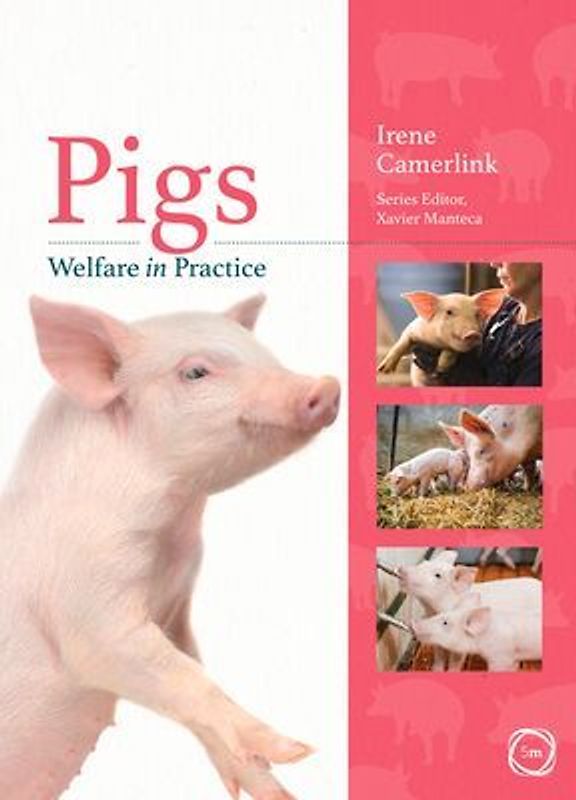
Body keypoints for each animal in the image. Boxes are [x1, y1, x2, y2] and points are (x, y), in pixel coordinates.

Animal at [0, 295, 340, 800]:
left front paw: (273, 788)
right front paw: (295, 750)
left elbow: (193, 674)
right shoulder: (87, 613)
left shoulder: (174, 609)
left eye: (265, 353)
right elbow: (185, 678)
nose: (328, 384)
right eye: (196, 372)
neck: (169, 539)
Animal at [377, 289, 505, 385]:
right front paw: (383, 370)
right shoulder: (413, 329)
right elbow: (402, 344)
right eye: (449, 312)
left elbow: (450, 351)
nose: (473, 333)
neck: (436, 344)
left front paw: (439, 369)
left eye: (477, 314)